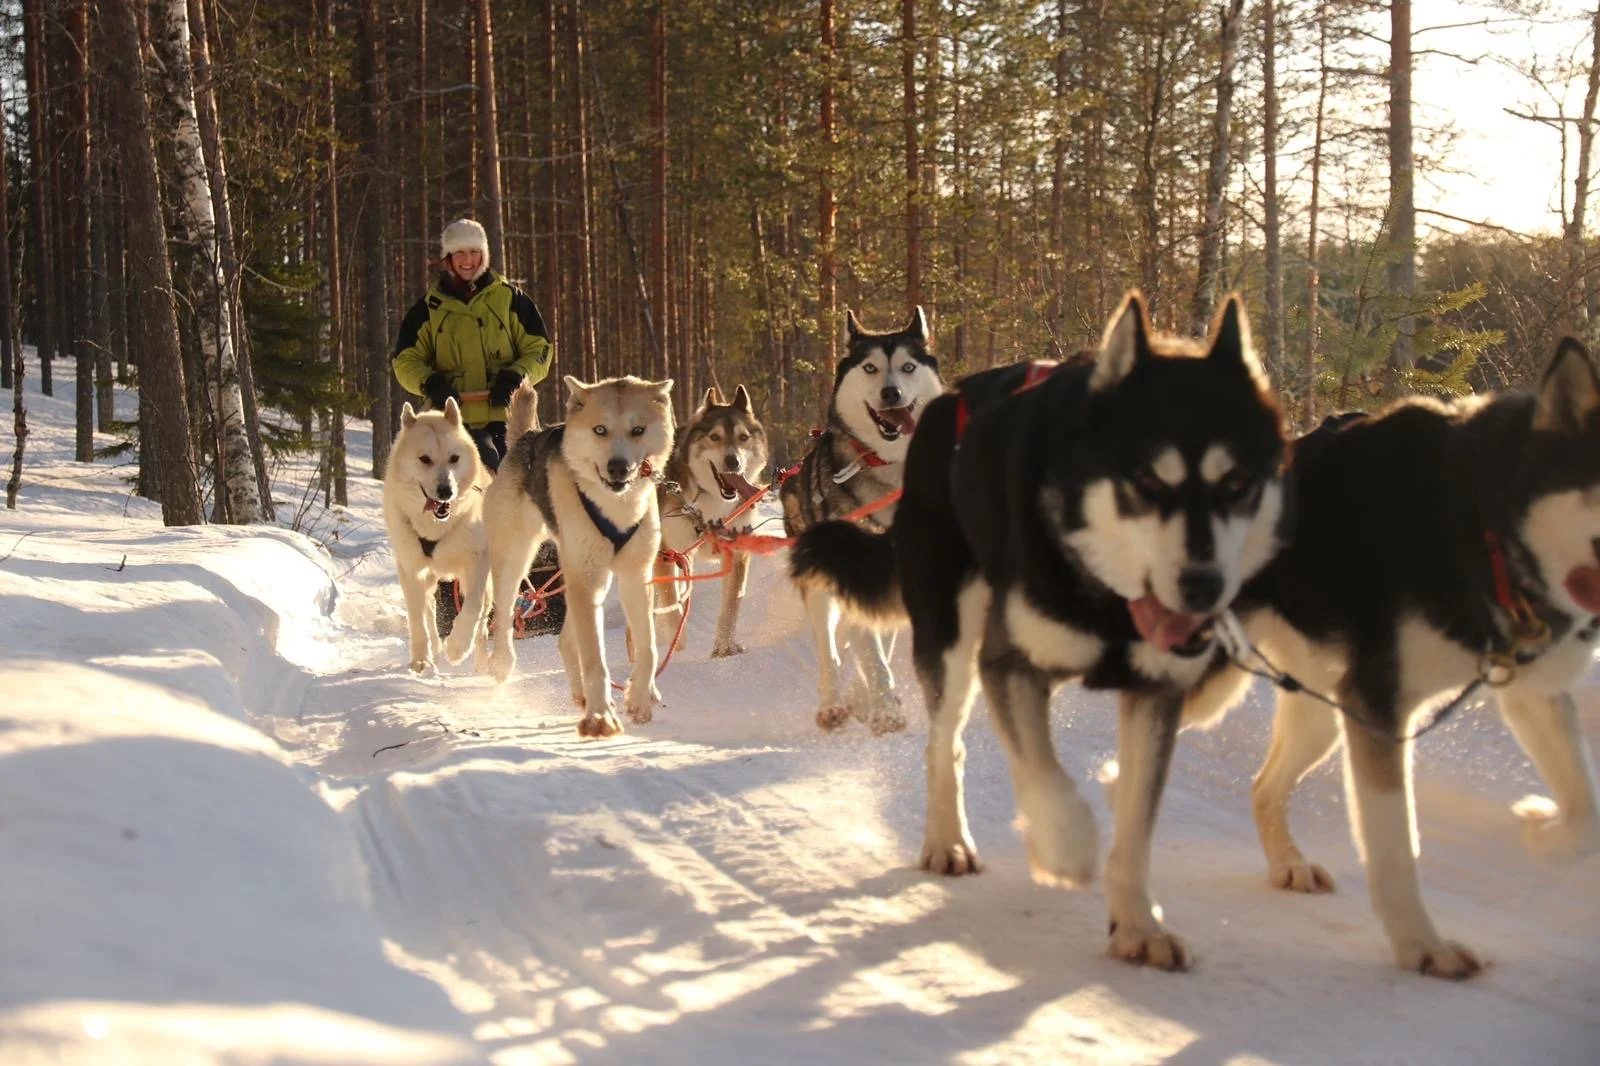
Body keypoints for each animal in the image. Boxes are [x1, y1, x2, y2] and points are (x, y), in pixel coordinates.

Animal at [381, 397, 492, 674]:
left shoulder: (478, 561)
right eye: (424, 459)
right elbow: (417, 618)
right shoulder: (410, 569)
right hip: (427, 576)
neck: (436, 526)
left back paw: (482, 662)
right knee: (429, 610)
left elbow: (473, 607)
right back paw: (435, 647)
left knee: (484, 614)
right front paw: (421, 660)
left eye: (454, 458)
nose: (445, 491)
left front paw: (458, 646)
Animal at [479, 374, 675, 737]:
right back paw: (502, 661)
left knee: (567, 642)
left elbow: (649, 648)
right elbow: (595, 660)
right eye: (600, 429)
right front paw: (601, 718)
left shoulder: (635, 576)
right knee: (505, 614)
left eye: (638, 429)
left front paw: (639, 698)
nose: (618, 467)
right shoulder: (585, 577)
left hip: (593, 576)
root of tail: (525, 437)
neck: (617, 508)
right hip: (518, 559)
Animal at [650, 384, 768, 659]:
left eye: (743, 437)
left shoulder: (736, 553)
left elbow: (731, 606)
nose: (733, 461)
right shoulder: (667, 554)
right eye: (715, 437)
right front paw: (678, 652)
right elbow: (674, 612)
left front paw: (724, 648)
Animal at [781, 306, 945, 735]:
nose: (891, 393)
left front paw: (877, 703)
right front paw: (886, 710)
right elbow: (870, 654)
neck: (888, 467)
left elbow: (877, 646)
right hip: (818, 587)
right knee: (831, 653)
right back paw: (834, 704)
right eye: (870, 368)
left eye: (907, 367)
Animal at [1191, 336, 1600, 979]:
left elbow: (1586, 813)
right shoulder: (1382, 708)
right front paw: (1422, 947)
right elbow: (1395, 847)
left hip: (1323, 709)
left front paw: (1542, 830)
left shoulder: (1528, 692)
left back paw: (1288, 863)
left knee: (1263, 786)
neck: (1480, 525)